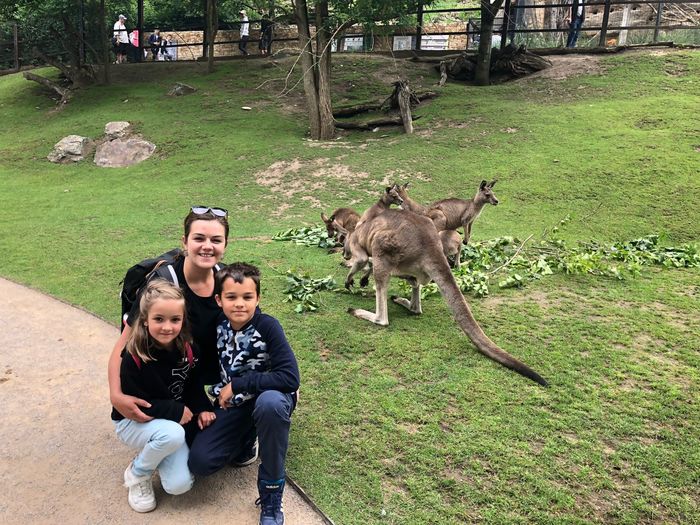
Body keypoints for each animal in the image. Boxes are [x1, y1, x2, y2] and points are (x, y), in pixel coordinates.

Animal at [342, 208, 547, 386]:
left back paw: (360, 311)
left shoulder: (359, 247)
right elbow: (367, 264)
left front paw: (351, 279)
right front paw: (361, 278)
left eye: (343, 243)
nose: (344, 254)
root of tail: (430, 246)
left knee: (383, 315)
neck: (357, 231)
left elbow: (362, 261)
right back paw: (404, 302)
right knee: (415, 288)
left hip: (383, 246)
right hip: (408, 264)